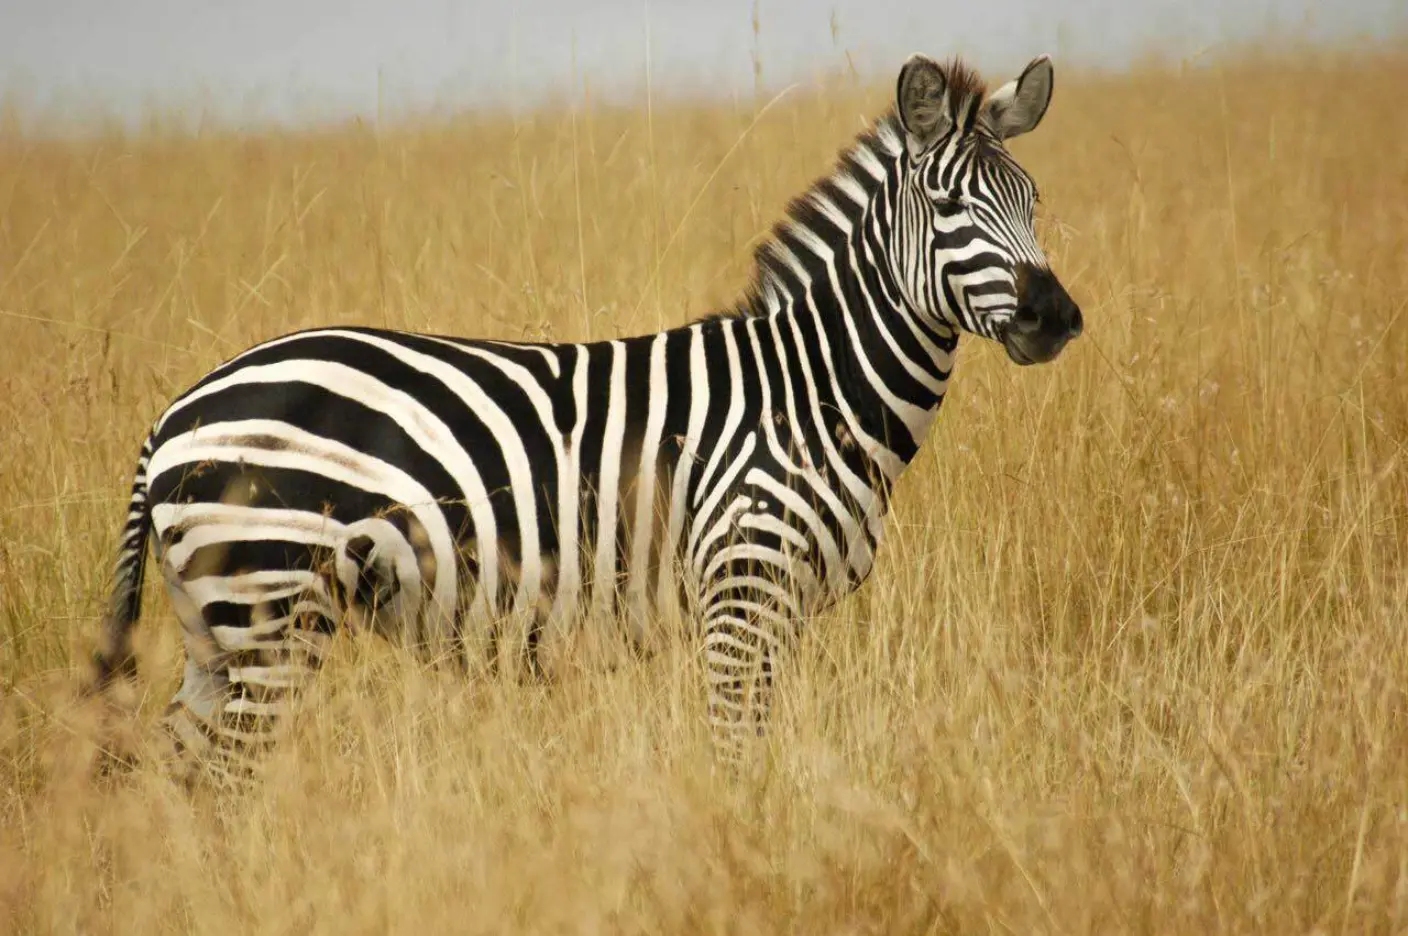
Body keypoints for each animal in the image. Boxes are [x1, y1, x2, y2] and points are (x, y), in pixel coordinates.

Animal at [89, 53, 1083, 783]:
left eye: (1034, 203)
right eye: (948, 206)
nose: (1056, 317)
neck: (811, 391)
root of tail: (174, 416)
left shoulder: (781, 611)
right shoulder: (742, 595)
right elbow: (736, 757)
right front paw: (745, 840)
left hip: (214, 627)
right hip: (270, 608)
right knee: (226, 781)